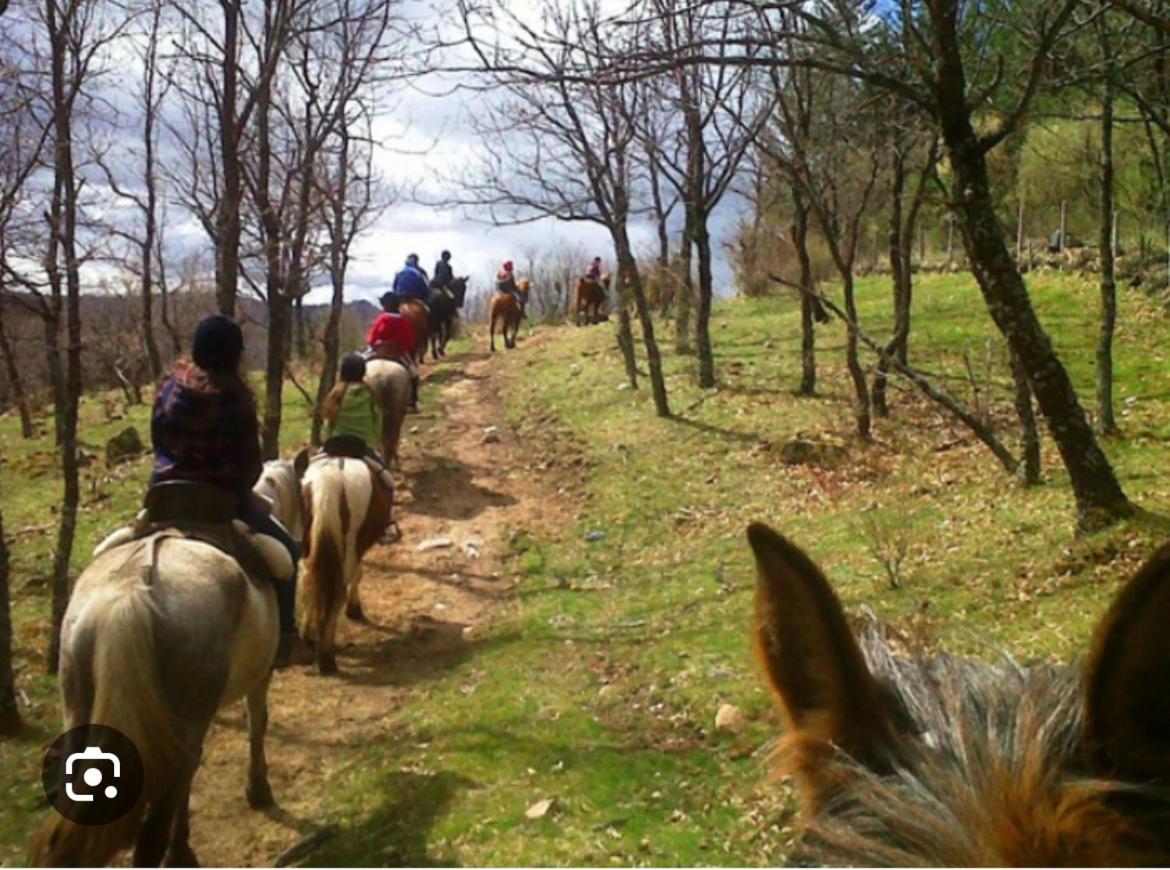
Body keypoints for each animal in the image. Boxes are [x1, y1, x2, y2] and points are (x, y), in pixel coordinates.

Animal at [31, 462, 306, 867]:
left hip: (79, 703)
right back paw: (175, 849)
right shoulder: (259, 677)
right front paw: (258, 790)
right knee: (157, 819)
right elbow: (257, 724)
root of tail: (130, 591)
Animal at [297, 451, 393, 675]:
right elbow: (358, 574)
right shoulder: (357, 548)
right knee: (336, 594)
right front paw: (354, 608)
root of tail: (331, 477)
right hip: (349, 545)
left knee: (308, 582)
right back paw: (326, 658)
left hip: (308, 544)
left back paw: (307, 638)